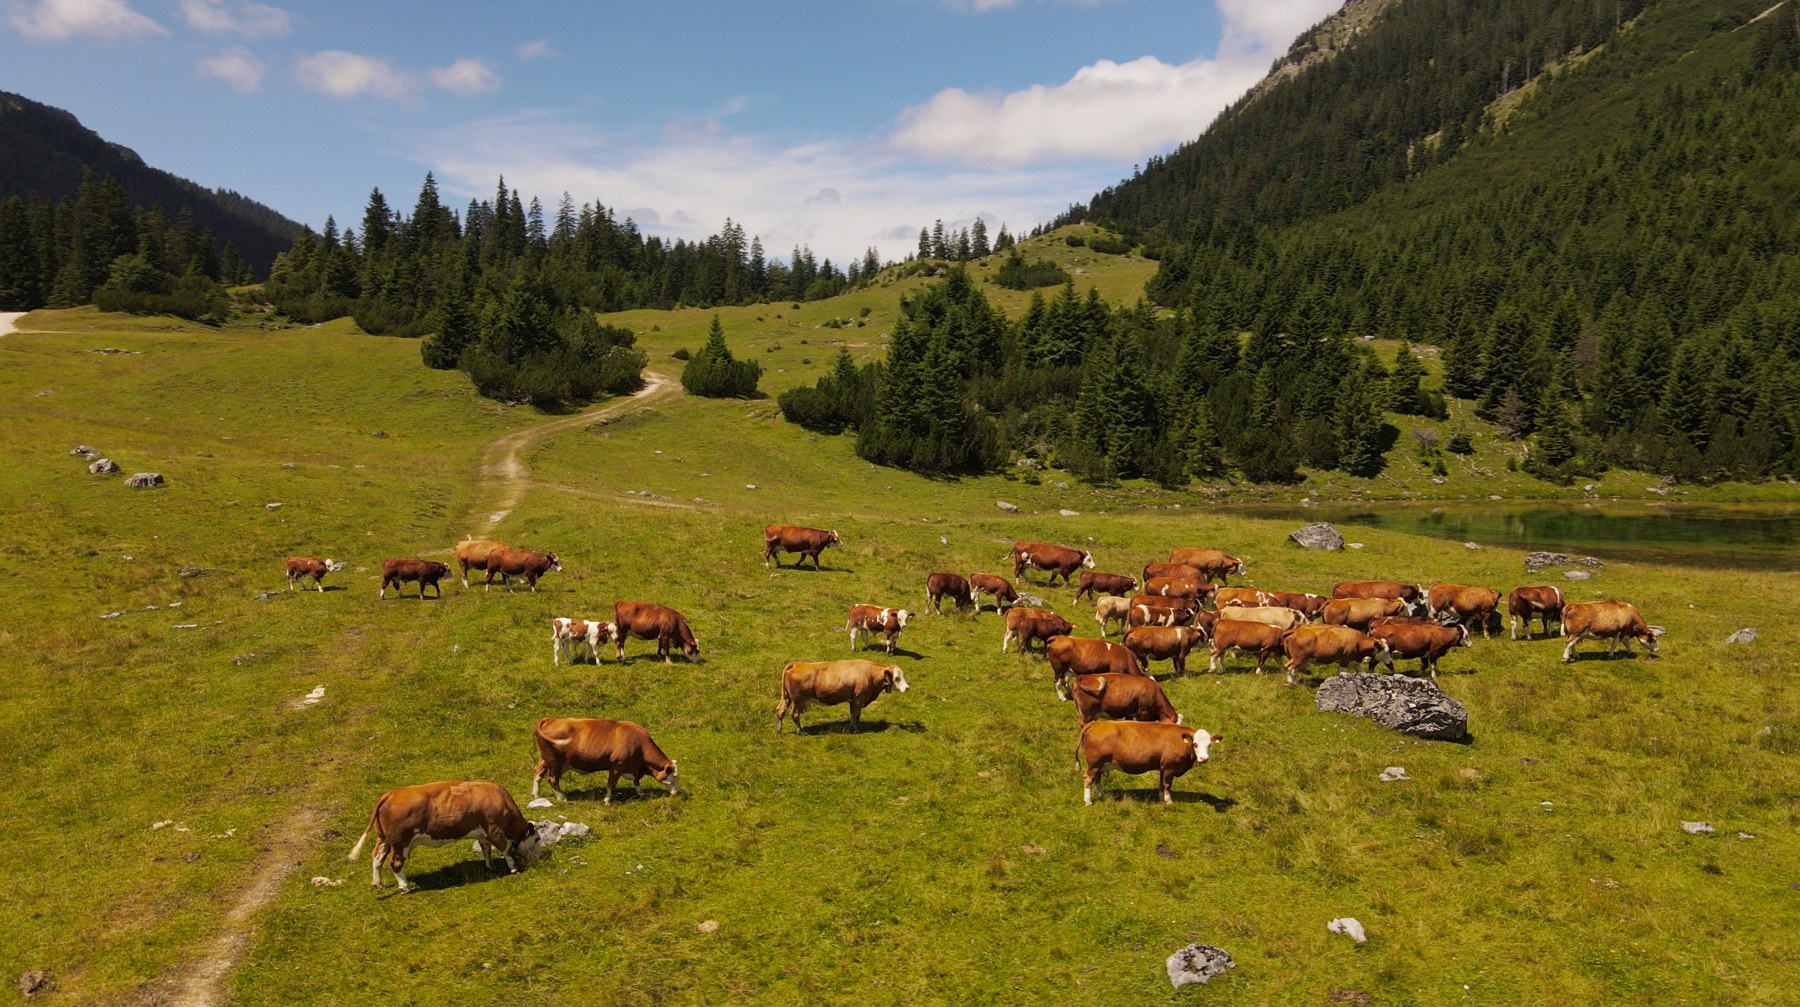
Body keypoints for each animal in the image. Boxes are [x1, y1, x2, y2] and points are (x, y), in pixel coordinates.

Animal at [347, 780, 541, 893]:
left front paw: (490, 865)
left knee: (377, 858)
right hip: (401, 842)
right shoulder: (495, 829)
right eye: (538, 839)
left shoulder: (482, 832)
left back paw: (378, 884)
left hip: (384, 839)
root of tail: (392, 794)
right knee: (395, 863)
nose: (538, 858)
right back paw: (404, 887)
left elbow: (486, 848)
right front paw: (513, 868)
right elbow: (505, 849)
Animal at [531, 718, 679, 803]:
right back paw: (562, 798)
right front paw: (607, 800)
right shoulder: (616, 767)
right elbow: (611, 784)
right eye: (674, 777)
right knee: (552, 779)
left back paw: (536, 795)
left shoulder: (633, 768)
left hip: (545, 759)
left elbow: (636, 782)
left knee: (538, 773)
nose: (677, 792)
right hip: (554, 761)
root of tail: (550, 719)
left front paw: (641, 793)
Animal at [776, 659, 909, 734]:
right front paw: (856, 730)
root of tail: (796, 664)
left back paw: (779, 730)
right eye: (897, 678)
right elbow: (856, 714)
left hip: (787, 698)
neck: (869, 674)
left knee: (780, 711)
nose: (907, 688)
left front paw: (851, 728)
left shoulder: (853, 700)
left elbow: (854, 715)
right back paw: (800, 731)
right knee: (794, 715)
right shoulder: (858, 699)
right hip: (798, 701)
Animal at [1078, 720, 1220, 805]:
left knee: (1097, 779)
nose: (1204, 758)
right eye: (1195, 744)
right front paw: (1169, 801)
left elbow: (1162, 784)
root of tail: (1096, 723)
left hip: (1100, 765)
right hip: (1094, 764)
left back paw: (1103, 795)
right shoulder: (1170, 767)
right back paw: (1088, 801)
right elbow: (1168, 784)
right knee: (1088, 779)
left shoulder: (1163, 767)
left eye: (1209, 744)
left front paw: (1161, 799)